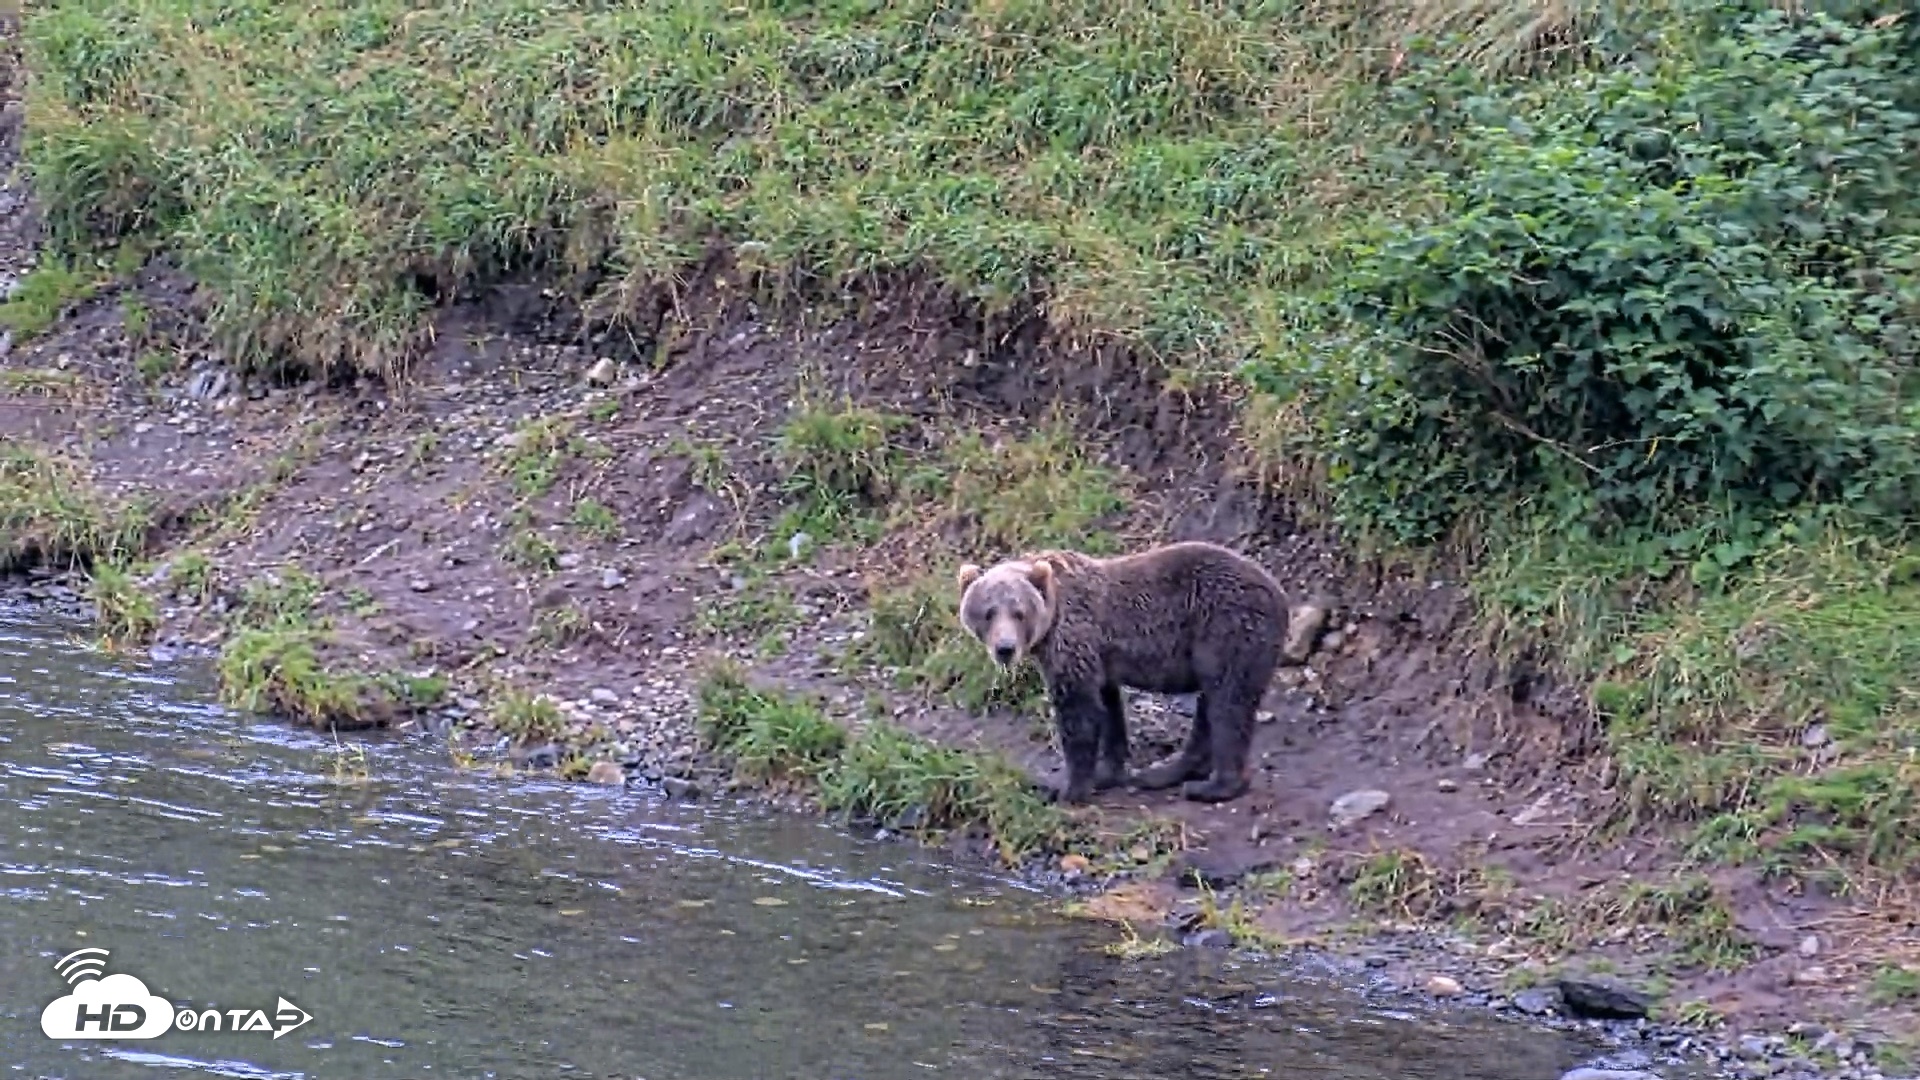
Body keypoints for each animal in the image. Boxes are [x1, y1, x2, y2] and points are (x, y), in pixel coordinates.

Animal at [955, 540, 1286, 806]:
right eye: (988, 612)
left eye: (1019, 612)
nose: (1005, 648)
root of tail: (1279, 593)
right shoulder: (1100, 658)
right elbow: (1108, 708)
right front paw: (1107, 772)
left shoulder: (1074, 642)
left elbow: (1078, 713)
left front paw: (1067, 788)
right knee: (1212, 704)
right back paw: (1166, 772)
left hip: (1226, 626)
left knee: (1228, 701)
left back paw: (1214, 786)